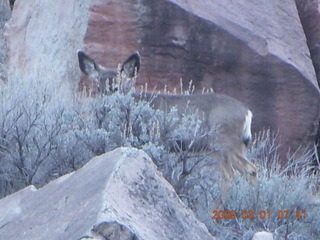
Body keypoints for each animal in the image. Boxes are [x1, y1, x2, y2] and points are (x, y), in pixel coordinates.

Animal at [78, 50, 258, 182]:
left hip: (224, 142)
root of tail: (247, 112)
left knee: (236, 174)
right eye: (99, 88)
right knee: (249, 171)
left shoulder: (157, 140)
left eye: (116, 87)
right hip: (232, 146)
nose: (105, 106)